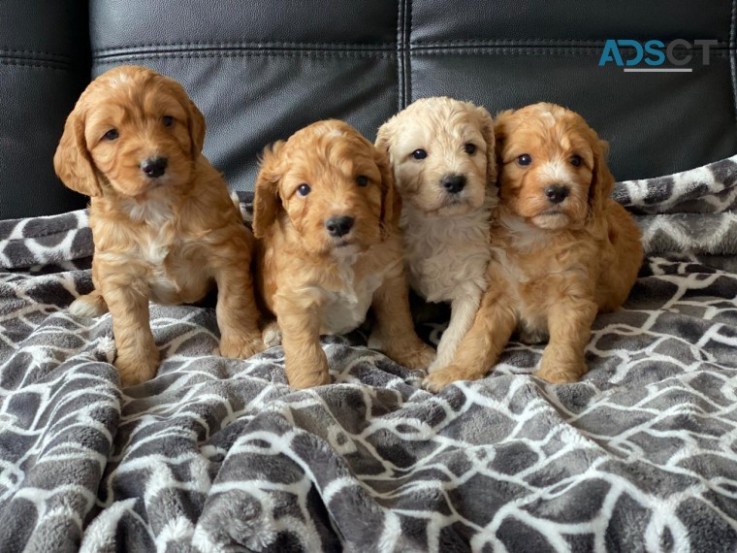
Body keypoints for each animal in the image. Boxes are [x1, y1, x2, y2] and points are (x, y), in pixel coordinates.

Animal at [53, 63, 264, 384]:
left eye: (167, 120)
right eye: (111, 134)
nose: (154, 165)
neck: (153, 207)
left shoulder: (226, 252)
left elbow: (232, 304)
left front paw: (240, 345)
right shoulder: (120, 275)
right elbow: (130, 327)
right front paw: (135, 368)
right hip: (101, 265)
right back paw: (91, 301)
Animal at [253, 119, 436, 388]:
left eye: (362, 180)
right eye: (303, 189)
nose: (339, 224)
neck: (344, 260)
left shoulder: (390, 282)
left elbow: (399, 322)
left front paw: (413, 353)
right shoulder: (297, 299)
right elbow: (305, 349)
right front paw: (310, 386)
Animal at [376, 97, 498, 376]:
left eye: (470, 148)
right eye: (418, 154)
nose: (454, 181)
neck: (440, 223)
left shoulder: (472, 282)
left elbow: (457, 331)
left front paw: (445, 368)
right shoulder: (398, 274)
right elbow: (398, 318)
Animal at [422, 101, 640, 390]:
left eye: (576, 160)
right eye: (524, 159)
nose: (557, 190)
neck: (536, 235)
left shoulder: (573, 293)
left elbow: (566, 338)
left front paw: (556, 375)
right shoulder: (497, 292)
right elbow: (479, 335)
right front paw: (457, 370)